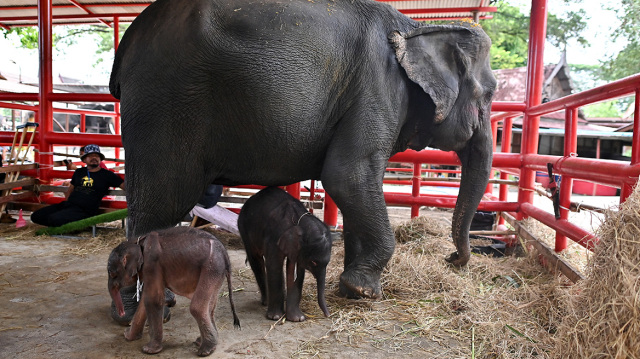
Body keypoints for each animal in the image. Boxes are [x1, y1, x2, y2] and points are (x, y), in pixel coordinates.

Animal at [107, 228, 240, 358]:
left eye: (112, 274)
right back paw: (201, 342)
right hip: (216, 272)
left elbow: (153, 300)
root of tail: (225, 254)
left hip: (212, 268)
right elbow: (145, 300)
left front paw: (149, 350)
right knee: (210, 308)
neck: (137, 242)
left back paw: (205, 351)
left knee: (197, 308)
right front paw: (128, 336)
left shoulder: (152, 264)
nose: (122, 313)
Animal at [111, 0, 496, 300]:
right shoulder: (378, 89)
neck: (418, 28)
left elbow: (354, 186)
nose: (452, 259)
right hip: (166, 103)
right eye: (490, 93)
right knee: (160, 203)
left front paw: (350, 289)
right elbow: (347, 175)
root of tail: (130, 39)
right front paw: (364, 292)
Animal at [238, 187, 332, 322]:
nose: (328, 315)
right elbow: (274, 265)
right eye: (314, 262)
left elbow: (296, 271)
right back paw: (266, 302)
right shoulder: (274, 236)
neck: (300, 220)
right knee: (256, 260)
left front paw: (298, 319)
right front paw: (276, 317)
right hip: (244, 228)